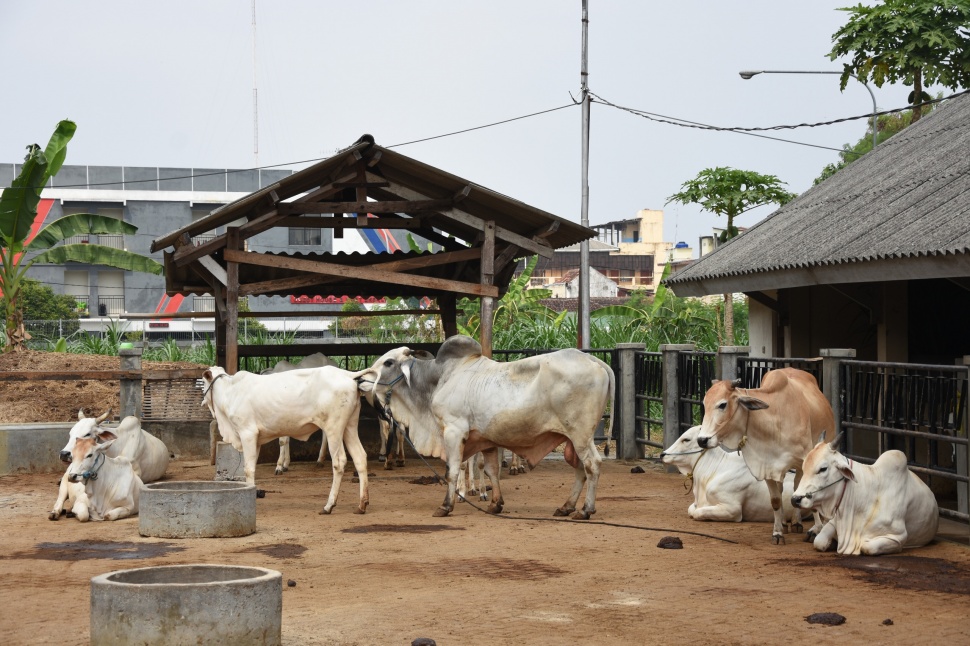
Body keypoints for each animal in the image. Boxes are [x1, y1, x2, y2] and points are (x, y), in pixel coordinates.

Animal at [202, 368, 368, 512]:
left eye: (203, 381)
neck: (231, 392)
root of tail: (347, 374)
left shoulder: (247, 433)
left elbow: (248, 469)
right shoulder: (256, 439)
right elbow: (252, 466)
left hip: (334, 428)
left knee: (339, 462)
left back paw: (329, 505)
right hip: (350, 426)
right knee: (360, 457)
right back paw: (362, 503)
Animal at [354, 336, 612, 520]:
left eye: (388, 362)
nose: (360, 380)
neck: (439, 379)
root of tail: (594, 360)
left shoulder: (453, 431)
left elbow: (452, 471)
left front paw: (446, 506)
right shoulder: (486, 440)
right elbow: (491, 471)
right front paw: (495, 503)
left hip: (580, 435)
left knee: (592, 465)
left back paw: (585, 510)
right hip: (572, 439)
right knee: (580, 469)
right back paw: (566, 507)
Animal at [696, 370, 832, 548]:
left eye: (722, 405)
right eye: (705, 404)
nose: (702, 440)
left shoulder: (807, 462)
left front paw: (816, 530)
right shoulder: (767, 467)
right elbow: (775, 500)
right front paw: (778, 532)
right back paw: (790, 523)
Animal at [788, 436, 936, 556]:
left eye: (823, 469)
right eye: (803, 467)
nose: (795, 499)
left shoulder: (897, 536)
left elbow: (867, 547)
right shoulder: (835, 522)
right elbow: (819, 541)